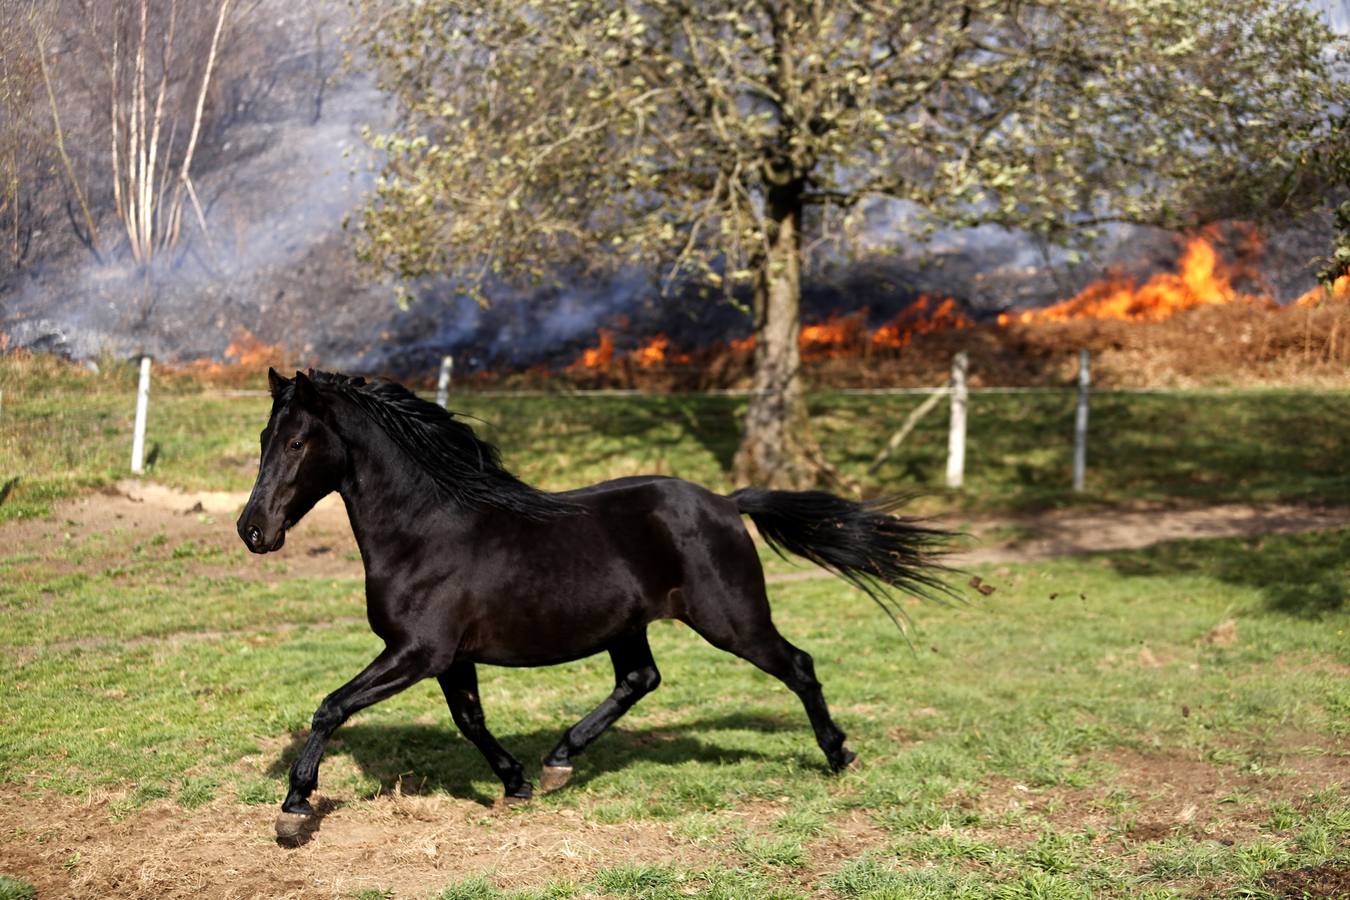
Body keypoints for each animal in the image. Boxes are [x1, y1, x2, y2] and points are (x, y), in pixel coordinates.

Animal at [237, 367, 955, 836]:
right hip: (629, 625)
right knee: (641, 678)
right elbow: (469, 721)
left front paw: (295, 808)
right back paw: (560, 760)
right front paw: (518, 782)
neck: (425, 529)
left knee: (798, 666)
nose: (253, 531)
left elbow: (331, 706)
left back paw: (838, 755)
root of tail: (726, 503)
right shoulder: (448, 658)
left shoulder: (417, 652)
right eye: (264, 438)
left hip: (732, 620)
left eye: (297, 441)